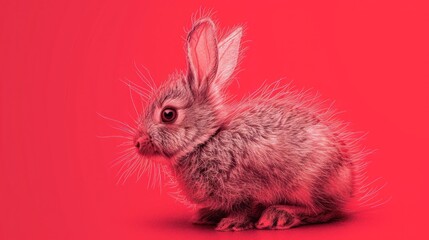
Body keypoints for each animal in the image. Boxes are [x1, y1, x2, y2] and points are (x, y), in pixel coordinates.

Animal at [129, 16, 370, 231]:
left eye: (168, 114)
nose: (138, 143)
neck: (205, 140)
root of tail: (348, 183)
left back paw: (278, 215)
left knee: (325, 210)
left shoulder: (246, 189)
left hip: (309, 183)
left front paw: (231, 223)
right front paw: (207, 215)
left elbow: (244, 208)